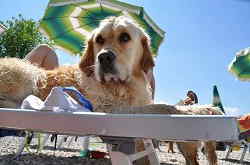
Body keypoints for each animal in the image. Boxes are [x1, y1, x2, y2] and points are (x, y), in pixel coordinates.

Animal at [0, 15, 219, 165]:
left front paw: (205, 109)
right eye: (99, 40)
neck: (123, 85)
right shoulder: (114, 110)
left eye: (125, 37)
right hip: (30, 73)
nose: (104, 57)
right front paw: (198, 111)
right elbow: (165, 107)